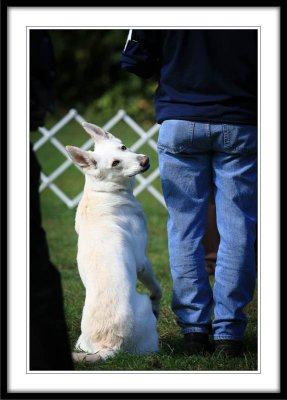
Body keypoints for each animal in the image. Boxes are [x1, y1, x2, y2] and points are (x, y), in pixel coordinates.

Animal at [66, 122, 163, 362]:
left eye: (123, 147)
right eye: (115, 163)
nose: (145, 160)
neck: (102, 191)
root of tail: (108, 347)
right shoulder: (142, 261)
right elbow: (157, 289)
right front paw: (158, 304)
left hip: (82, 342)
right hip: (143, 309)